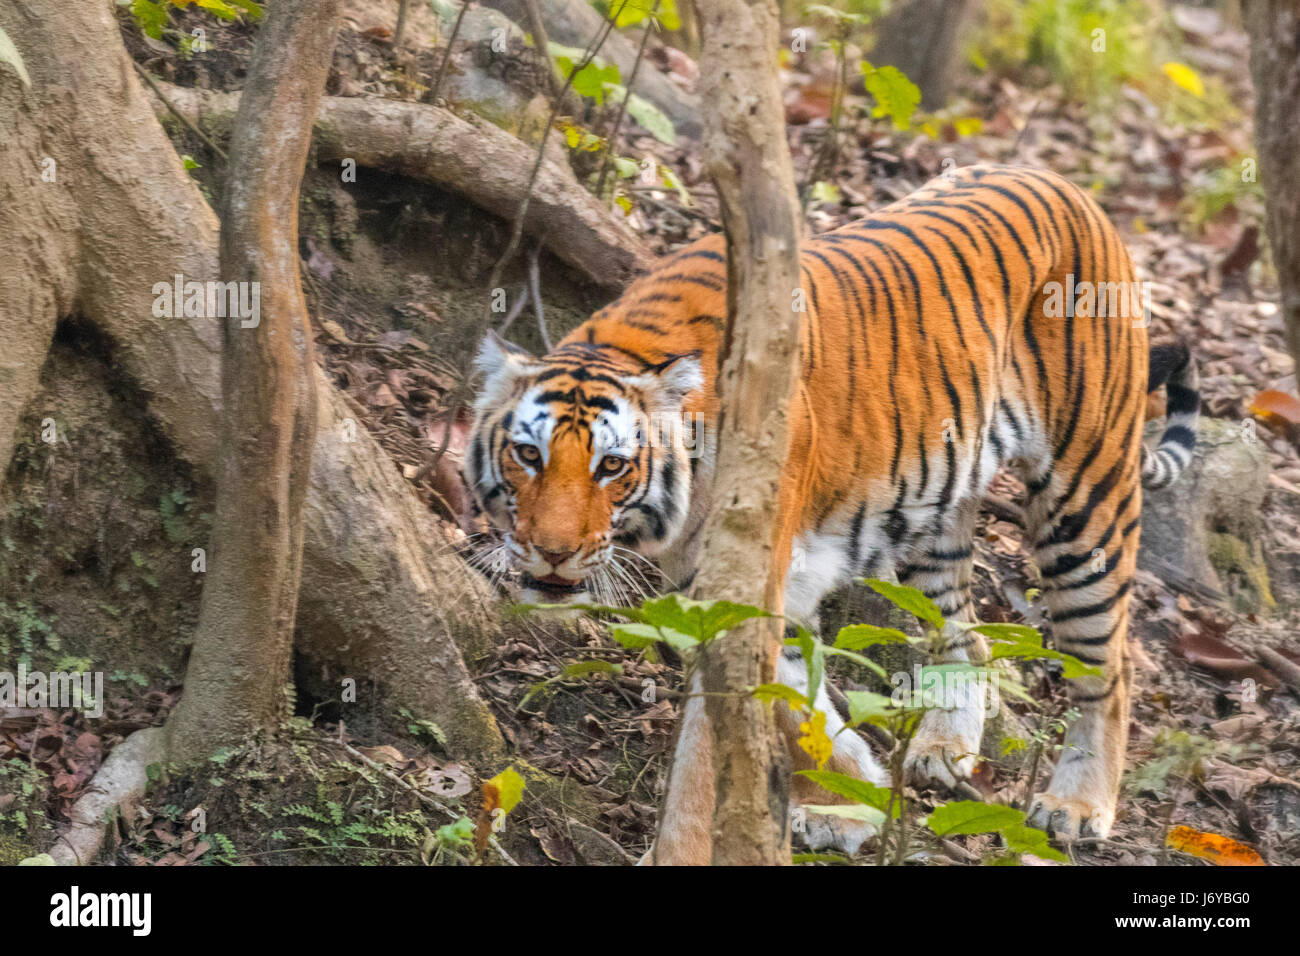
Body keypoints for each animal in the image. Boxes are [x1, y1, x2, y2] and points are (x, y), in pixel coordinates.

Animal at [465, 162, 1196, 853]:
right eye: (528, 455)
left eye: (611, 467)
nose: (552, 552)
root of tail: (1073, 188)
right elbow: (800, 702)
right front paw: (855, 798)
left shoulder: (737, 595)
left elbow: (711, 757)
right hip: (936, 511)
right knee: (969, 635)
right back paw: (940, 749)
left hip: (1085, 500)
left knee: (1111, 663)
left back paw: (1077, 805)